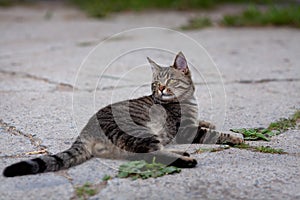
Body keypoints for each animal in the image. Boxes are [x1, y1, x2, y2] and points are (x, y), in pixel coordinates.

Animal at [2, 52, 244, 177]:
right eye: (156, 83)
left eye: (169, 80)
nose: (161, 89)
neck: (185, 101)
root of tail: (85, 131)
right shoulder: (186, 131)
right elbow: (214, 134)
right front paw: (234, 136)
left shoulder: (191, 124)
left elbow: (204, 122)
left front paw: (210, 121)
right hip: (142, 132)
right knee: (149, 155)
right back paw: (187, 159)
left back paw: (182, 154)